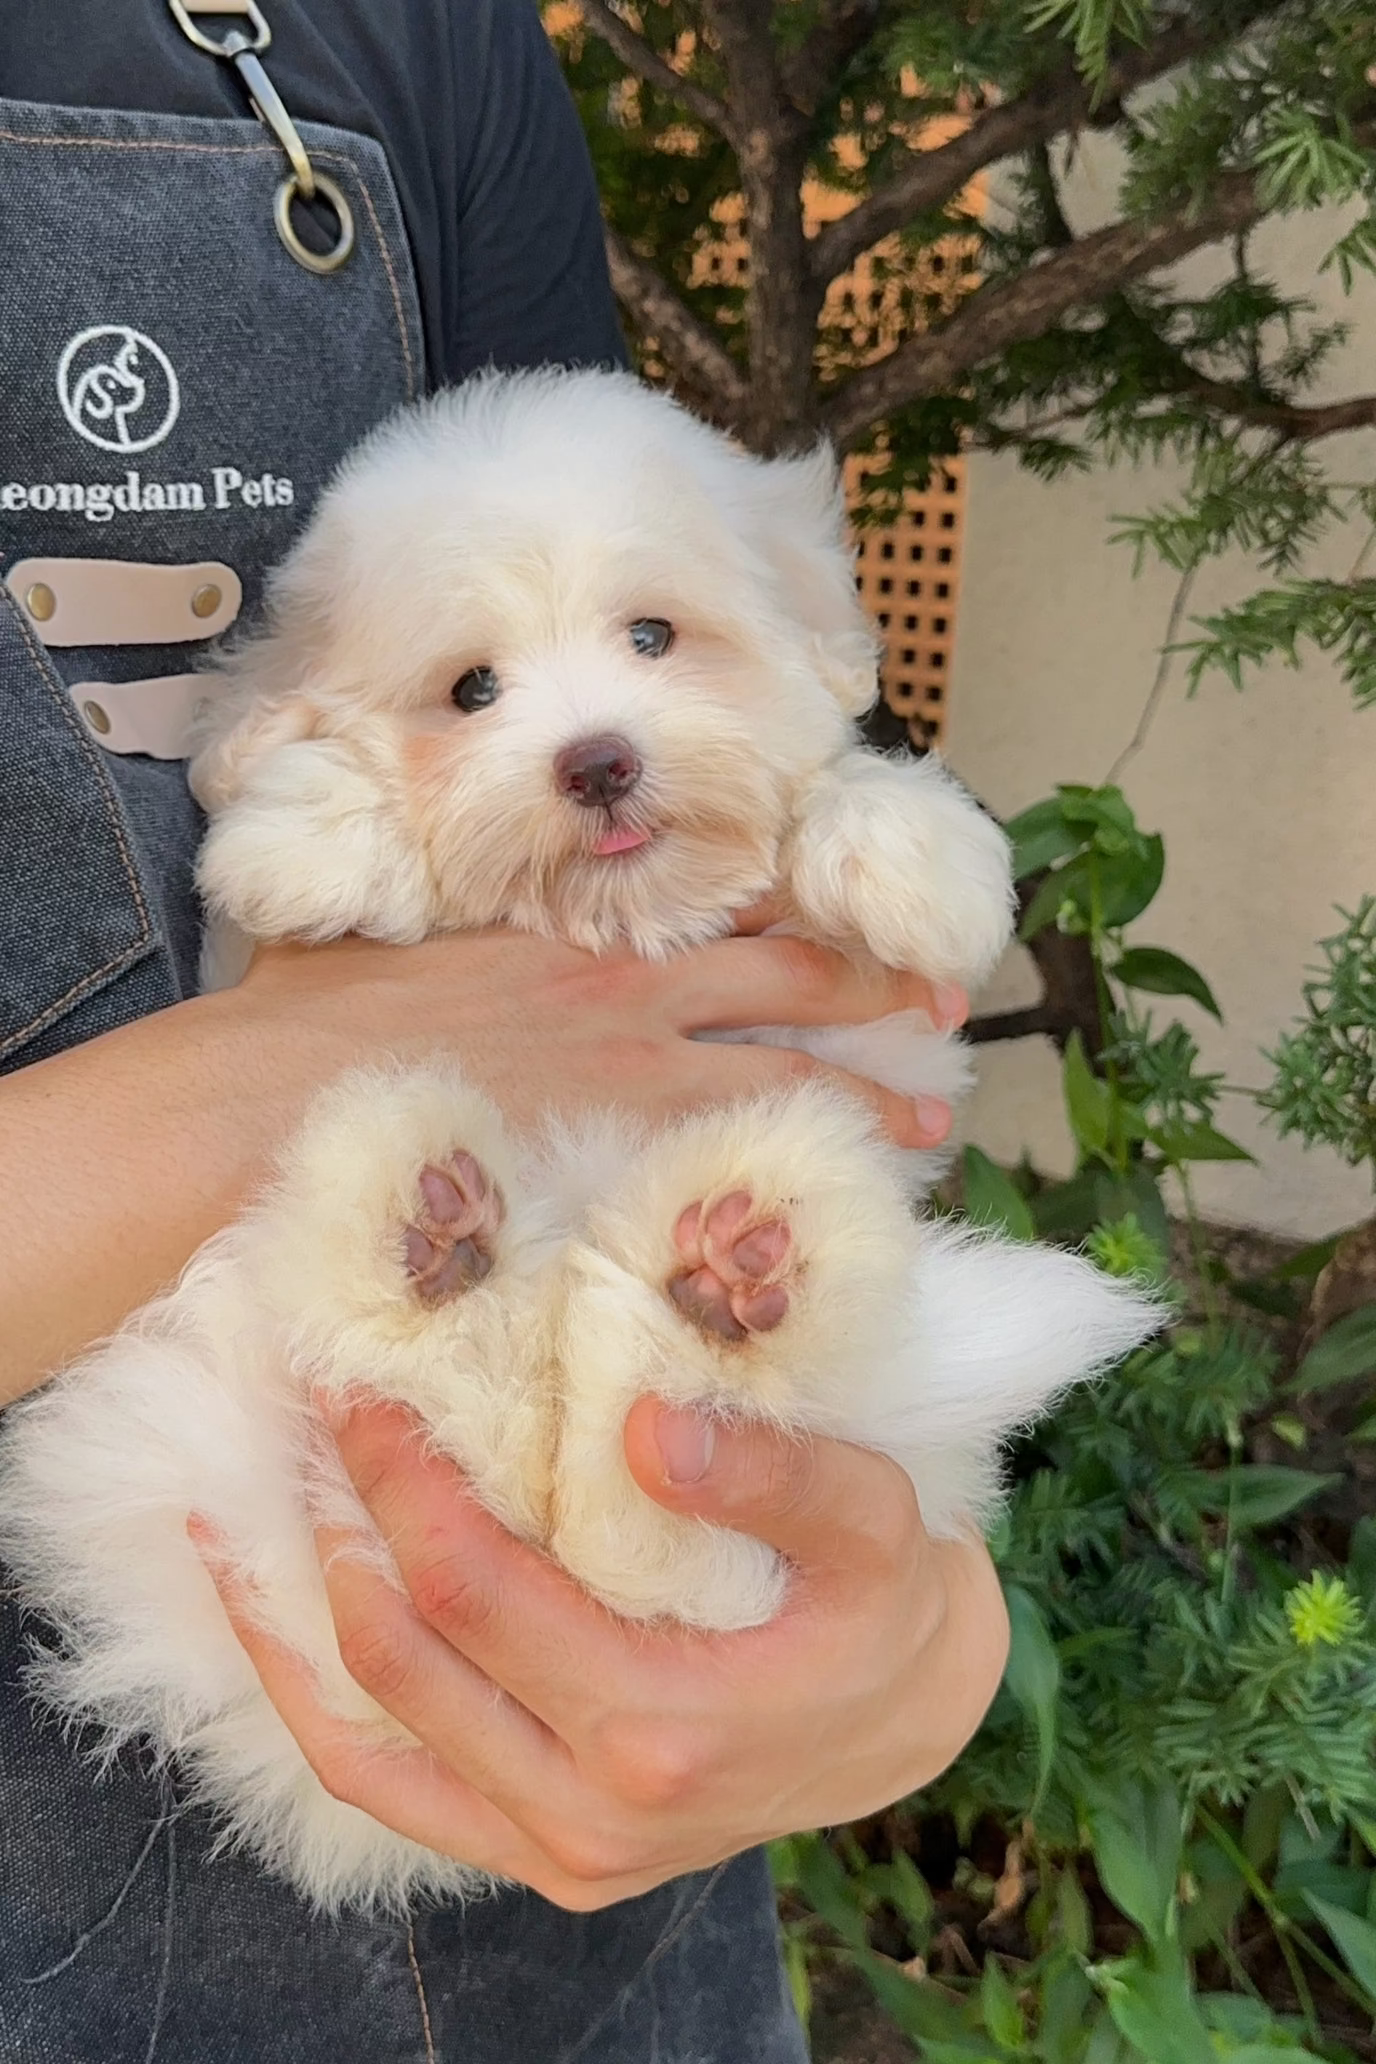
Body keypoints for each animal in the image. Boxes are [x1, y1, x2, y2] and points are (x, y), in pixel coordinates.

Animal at [0, 367, 1163, 1898]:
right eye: (472, 689)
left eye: (654, 635)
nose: (597, 759)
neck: (624, 921)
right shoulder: (241, 967)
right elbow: (297, 830)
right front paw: (318, 832)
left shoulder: (887, 1050)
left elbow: (847, 807)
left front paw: (907, 853)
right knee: (491, 1446)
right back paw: (437, 1244)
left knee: (643, 1527)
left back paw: (714, 1279)